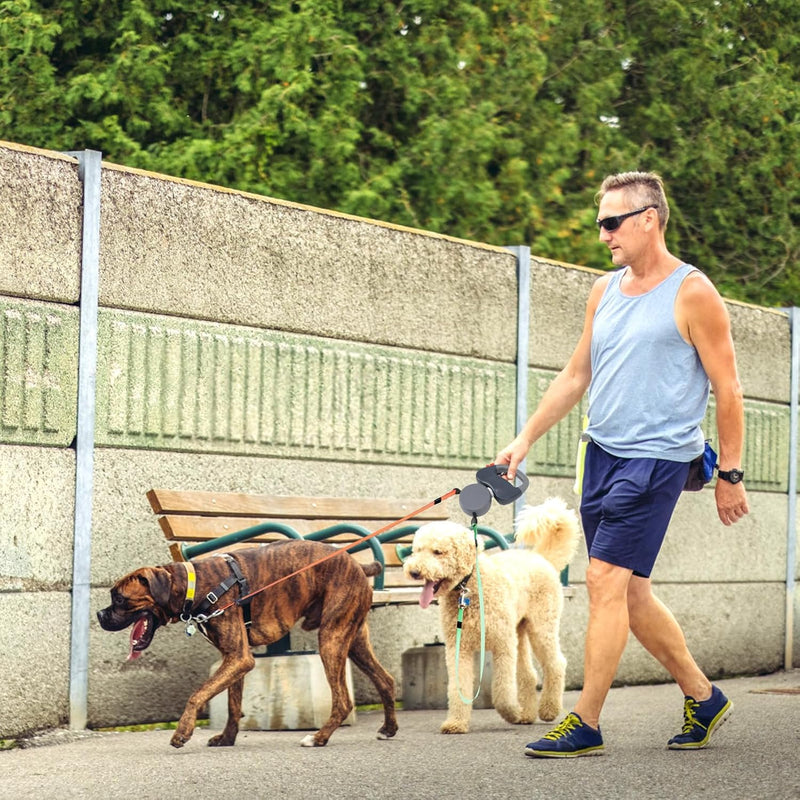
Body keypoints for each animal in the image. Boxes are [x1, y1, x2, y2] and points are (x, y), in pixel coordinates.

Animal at [97, 540, 396, 748]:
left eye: (120, 599)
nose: (100, 615)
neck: (193, 585)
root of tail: (358, 565)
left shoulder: (238, 658)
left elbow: (197, 693)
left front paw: (183, 732)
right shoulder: (234, 659)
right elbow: (232, 704)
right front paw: (227, 738)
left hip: (331, 638)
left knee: (343, 700)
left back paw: (318, 738)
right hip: (353, 639)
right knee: (386, 680)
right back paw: (388, 729)